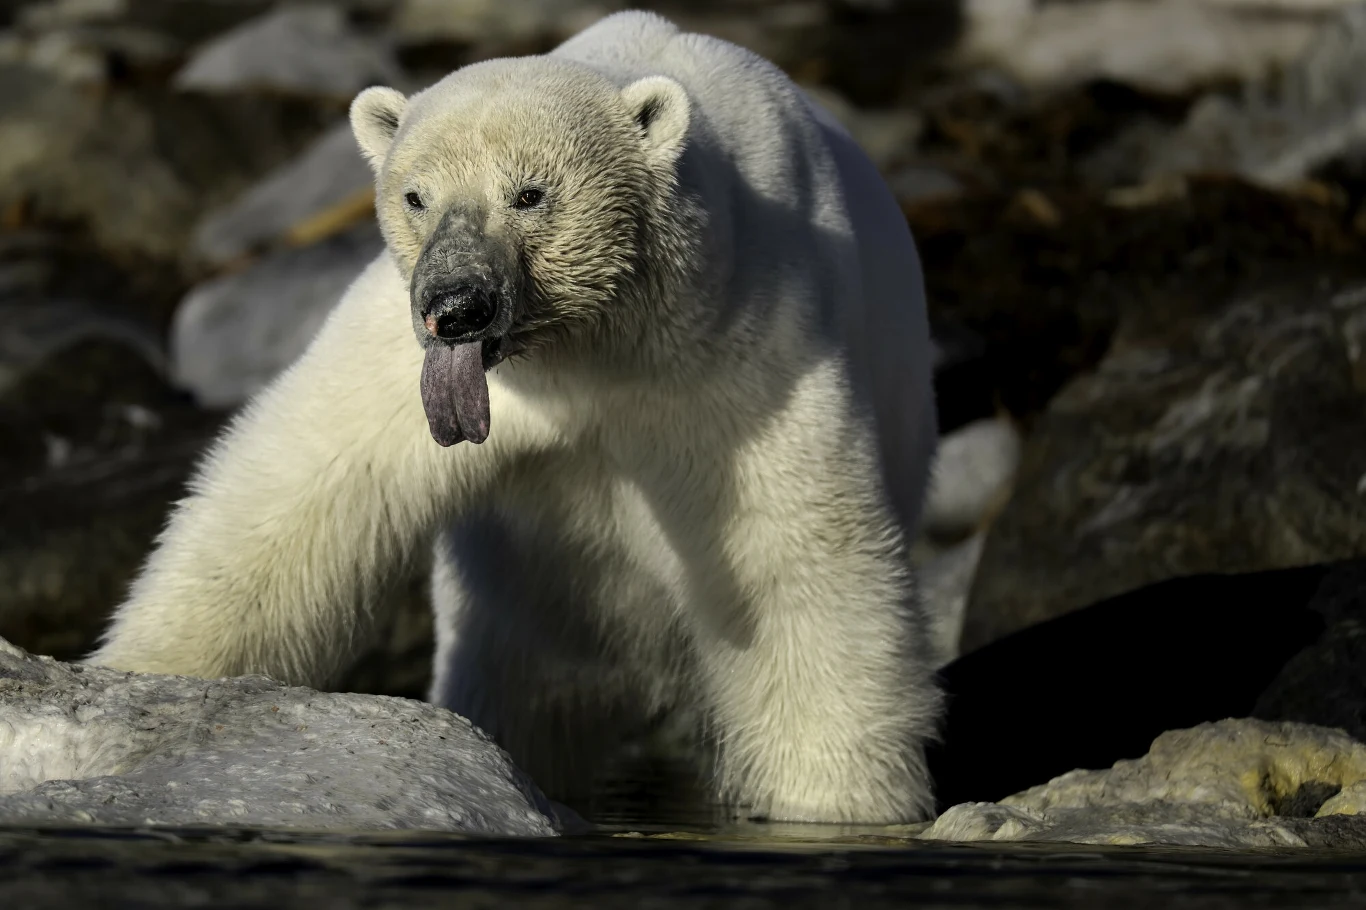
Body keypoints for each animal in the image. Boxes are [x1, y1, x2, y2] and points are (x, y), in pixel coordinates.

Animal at [88, 10, 942, 825]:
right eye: (416, 195)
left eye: (530, 193)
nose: (456, 306)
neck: (586, 345)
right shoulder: (420, 363)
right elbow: (299, 496)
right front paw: (145, 684)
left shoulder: (742, 345)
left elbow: (790, 559)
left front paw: (837, 799)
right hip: (532, 592)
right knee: (521, 684)